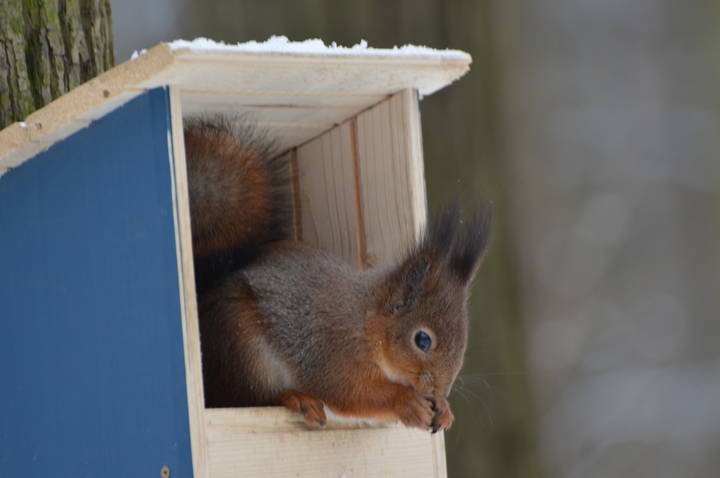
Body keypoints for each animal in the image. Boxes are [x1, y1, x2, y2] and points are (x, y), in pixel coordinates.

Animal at [184, 116, 491, 433]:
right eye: (423, 340)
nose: (439, 391)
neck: (365, 324)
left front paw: (444, 409)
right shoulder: (332, 354)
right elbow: (349, 393)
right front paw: (406, 401)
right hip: (243, 348)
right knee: (252, 397)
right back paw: (296, 397)